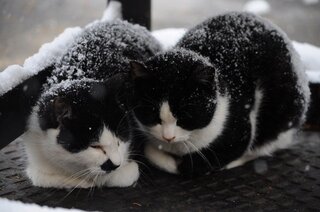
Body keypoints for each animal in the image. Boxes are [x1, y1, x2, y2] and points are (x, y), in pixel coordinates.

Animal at [128, 12, 310, 177]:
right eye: (152, 113)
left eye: (185, 115)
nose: (168, 137)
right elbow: (151, 151)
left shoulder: (240, 129)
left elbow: (200, 163)